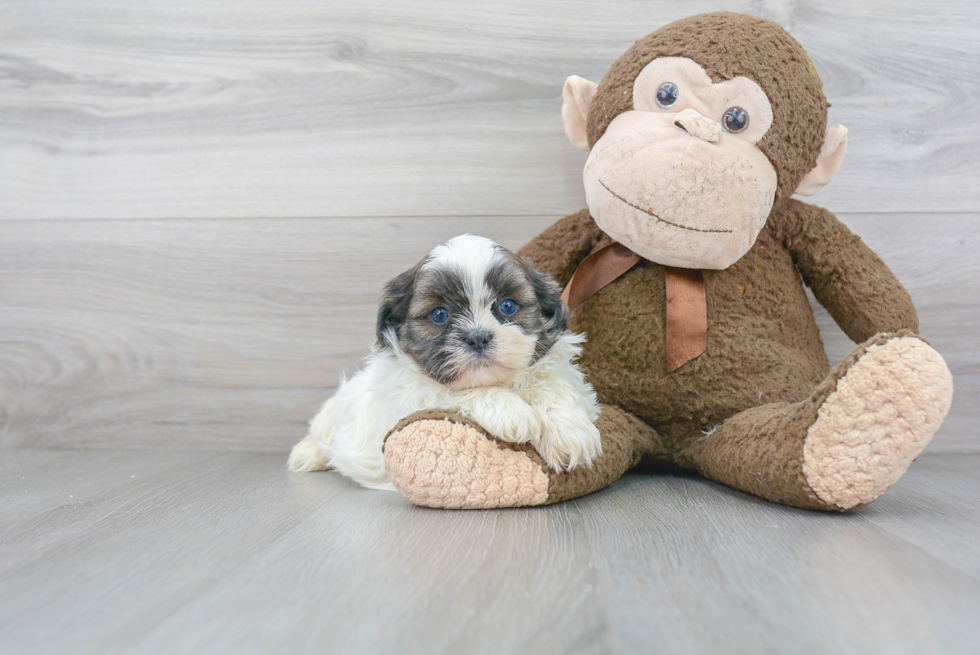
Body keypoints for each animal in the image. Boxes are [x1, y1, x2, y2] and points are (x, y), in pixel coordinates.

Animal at [288, 233, 600, 490]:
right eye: (439, 314)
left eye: (507, 306)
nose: (477, 337)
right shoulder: (409, 398)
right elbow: (449, 393)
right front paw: (509, 410)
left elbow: (555, 385)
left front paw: (569, 432)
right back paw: (307, 454)